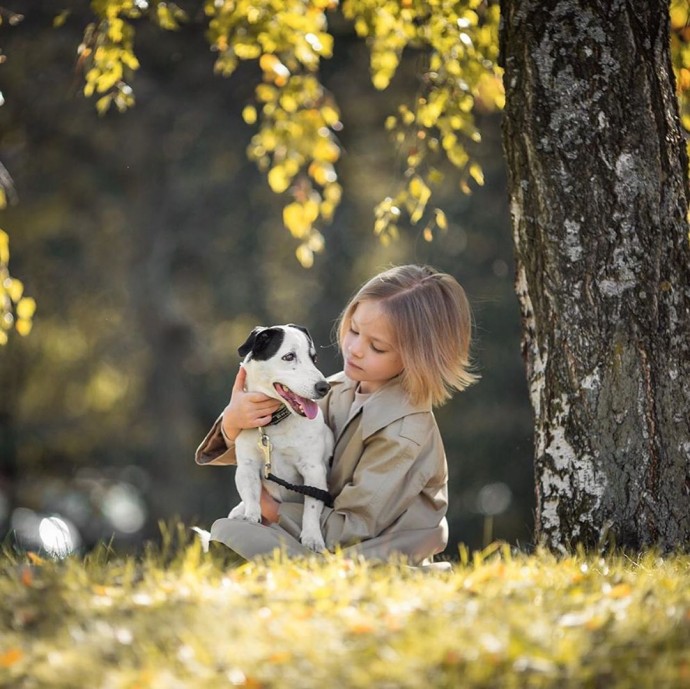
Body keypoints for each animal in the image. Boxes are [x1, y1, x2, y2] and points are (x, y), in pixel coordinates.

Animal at [230, 324, 334, 552]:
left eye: (314, 358)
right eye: (289, 356)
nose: (324, 387)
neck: (275, 425)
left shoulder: (313, 470)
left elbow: (312, 506)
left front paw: (312, 537)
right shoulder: (247, 467)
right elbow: (251, 495)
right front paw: (250, 516)